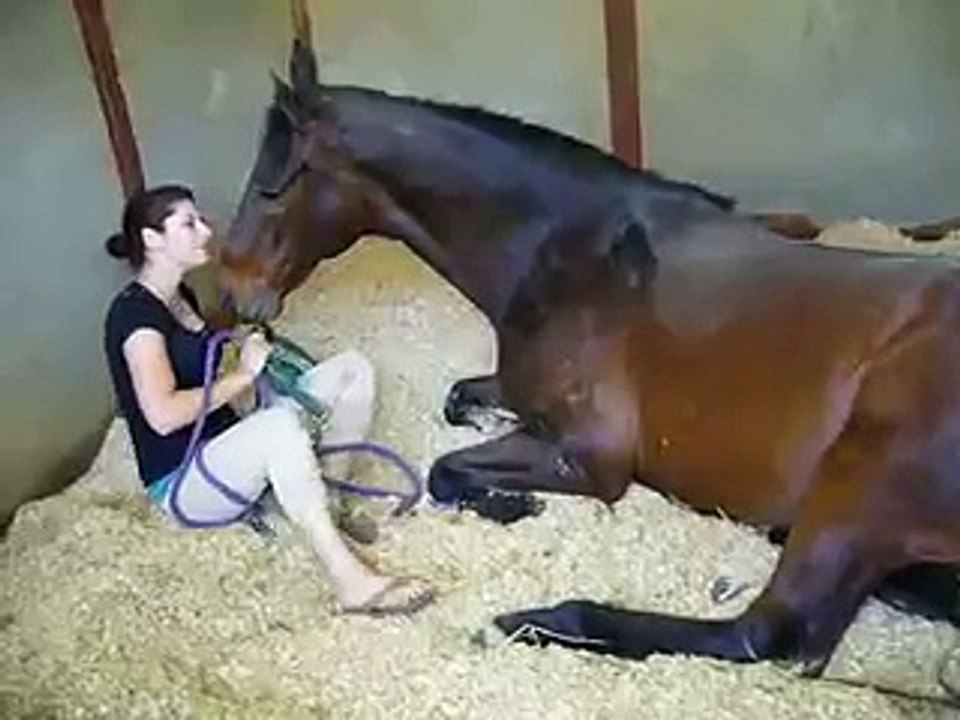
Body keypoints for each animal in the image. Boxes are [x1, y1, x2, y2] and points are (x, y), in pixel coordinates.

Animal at [217, 31, 960, 678]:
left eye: (272, 187)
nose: (229, 295)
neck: (580, 252)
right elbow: (458, 407)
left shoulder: (589, 454)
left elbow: (445, 471)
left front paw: (512, 504)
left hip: (857, 483)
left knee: (770, 631)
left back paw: (545, 620)